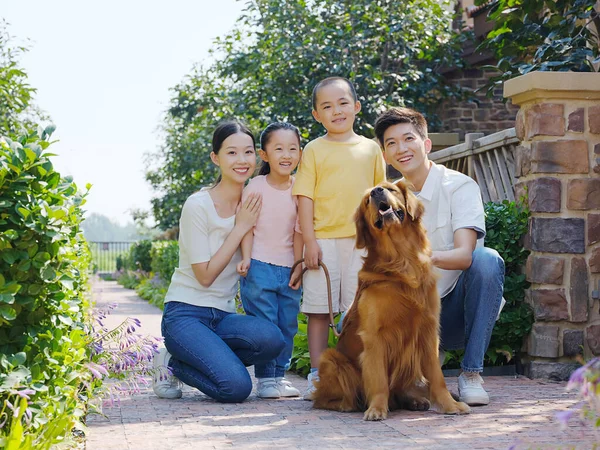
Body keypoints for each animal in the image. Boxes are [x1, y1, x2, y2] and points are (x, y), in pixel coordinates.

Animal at [312, 181, 472, 420]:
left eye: (390, 188)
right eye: (366, 201)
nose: (376, 192)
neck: (401, 261)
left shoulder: (428, 331)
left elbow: (437, 378)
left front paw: (450, 405)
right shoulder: (374, 337)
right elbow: (378, 380)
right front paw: (377, 408)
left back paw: (414, 400)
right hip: (330, 359)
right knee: (322, 398)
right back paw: (346, 404)